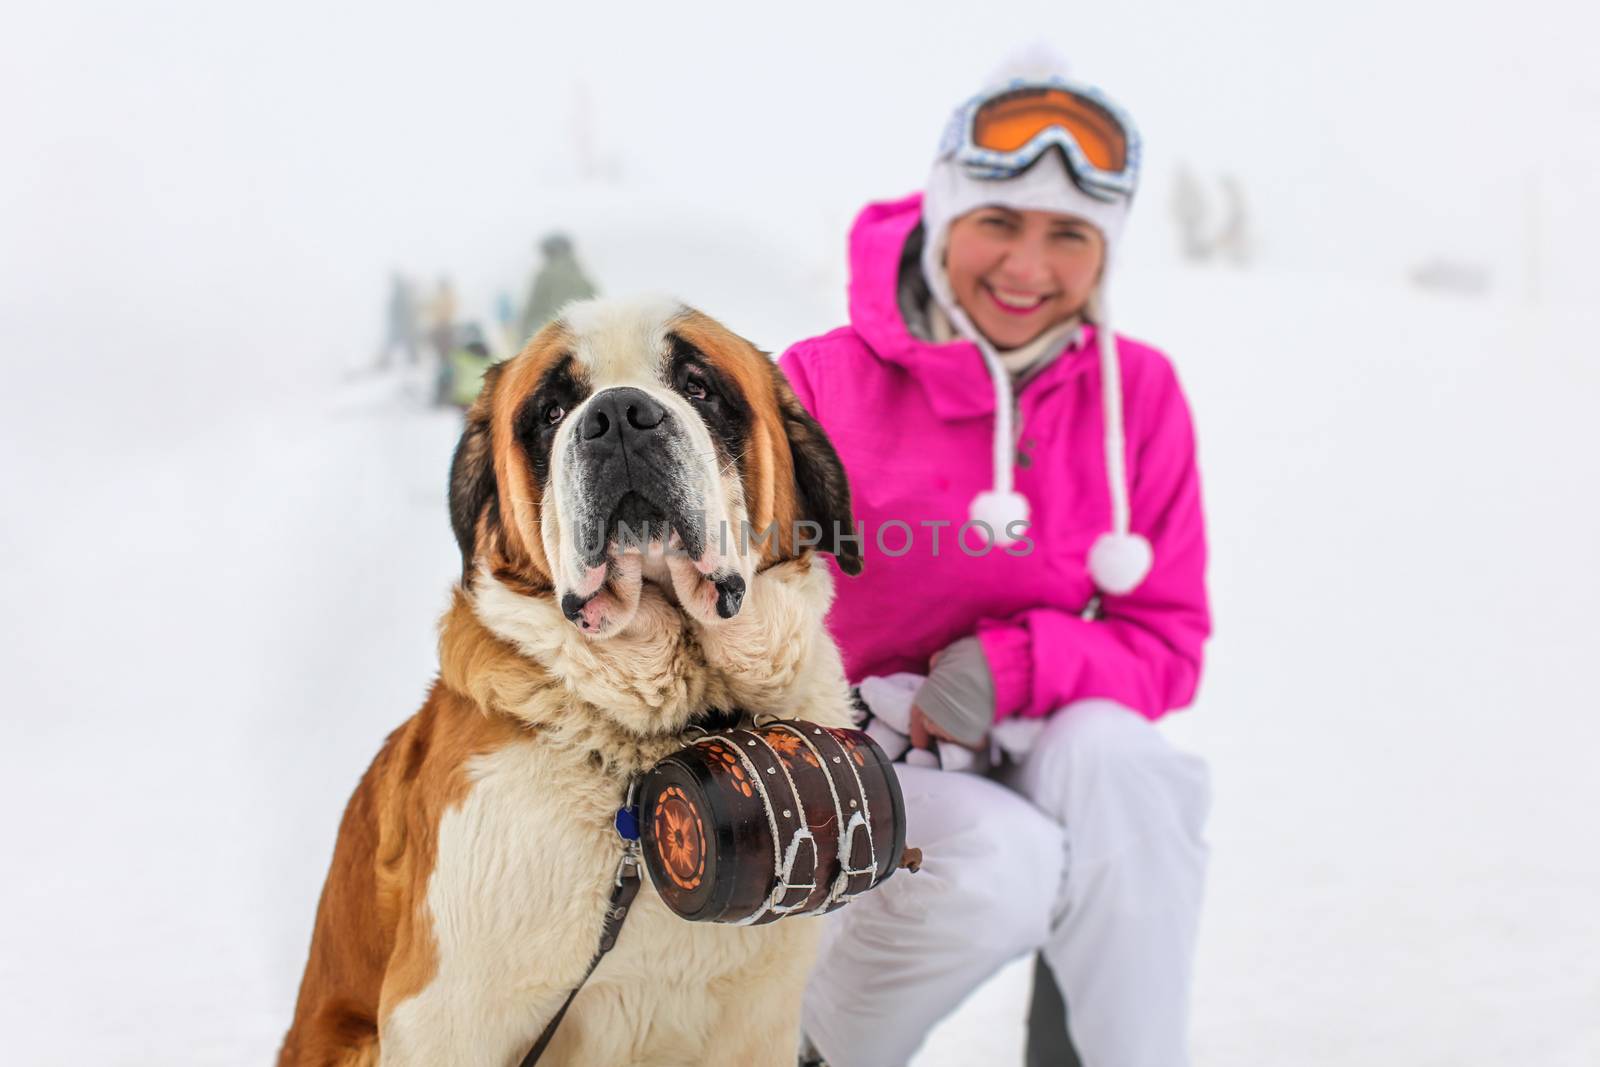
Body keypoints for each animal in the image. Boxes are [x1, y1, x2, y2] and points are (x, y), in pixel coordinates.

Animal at [281, 295, 870, 1067]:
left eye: (699, 386)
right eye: (553, 410)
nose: (618, 414)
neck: (664, 734)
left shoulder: (757, 1023)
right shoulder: (443, 1017)